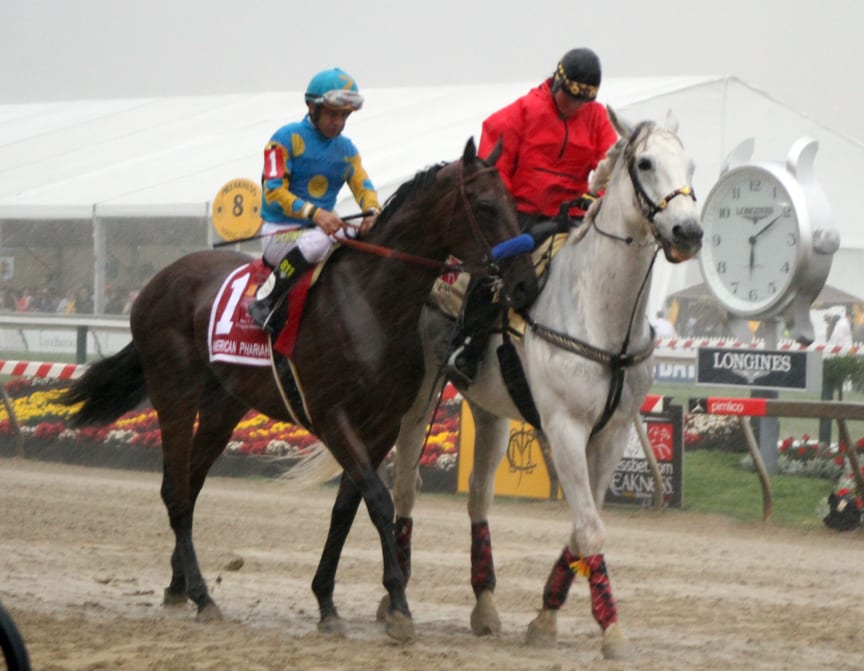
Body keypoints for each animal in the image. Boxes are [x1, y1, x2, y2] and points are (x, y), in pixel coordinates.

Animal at [62, 139, 532, 644]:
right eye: (484, 206)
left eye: (513, 203)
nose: (524, 279)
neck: (370, 302)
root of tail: (158, 281)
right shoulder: (331, 416)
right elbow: (379, 501)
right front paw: (399, 606)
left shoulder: (382, 424)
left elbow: (347, 507)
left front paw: (327, 601)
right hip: (174, 392)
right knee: (175, 490)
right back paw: (203, 596)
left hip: (223, 407)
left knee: (190, 485)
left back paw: (179, 586)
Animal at [388, 111, 704, 660]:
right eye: (645, 162)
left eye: (690, 165)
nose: (688, 230)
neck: (600, 313)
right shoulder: (565, 430)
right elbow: (591, 529)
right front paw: (612, 631)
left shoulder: (612, 435)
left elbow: (582, 527)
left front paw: (546, 618)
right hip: (419, 402)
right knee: (406, 489)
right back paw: (395, 601)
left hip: (490, 414)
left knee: (478, 497)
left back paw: (485, 605)